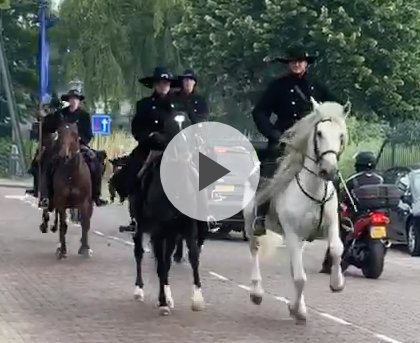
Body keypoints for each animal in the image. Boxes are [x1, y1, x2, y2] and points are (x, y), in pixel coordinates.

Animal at [39, 122, 93, 260]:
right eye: (60, 133)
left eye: (75, 135)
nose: (63, 155)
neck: (72, 175)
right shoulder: (61, 202)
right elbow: (63, 225)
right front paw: (62, 250)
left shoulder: (85, 203)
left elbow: (85, 223)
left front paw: (85, 248)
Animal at [131, 113, 207, 318]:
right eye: (170, 127)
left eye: (188, 125)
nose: (183, 154)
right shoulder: (157, 232)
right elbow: (160, 265)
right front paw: (163, 303)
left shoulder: (188, 228)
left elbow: (194, 257)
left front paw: (197, 299)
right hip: (141, 227)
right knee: (140, 253)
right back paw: (139, 291)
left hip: (172, 234)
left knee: (167, 260)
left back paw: (168, 296)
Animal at [244, 99, 350, 322]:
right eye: (319, 133)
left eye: (341, 135)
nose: (329, 170)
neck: (314, 189)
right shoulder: (292, 233)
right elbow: (300, 278)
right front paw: (298, 310)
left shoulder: (331, 225)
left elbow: (336, 249)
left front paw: (337, 284)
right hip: (250, 222)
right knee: (254, 249)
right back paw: (257, 293)